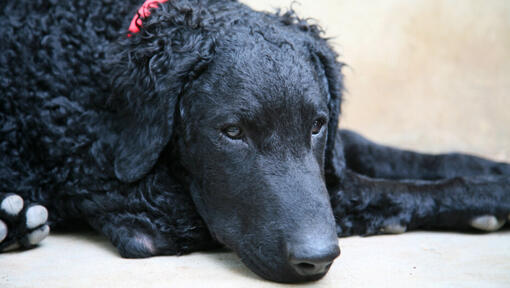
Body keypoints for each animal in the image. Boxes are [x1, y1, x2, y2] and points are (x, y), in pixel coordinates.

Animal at [0, 0, 510, 284]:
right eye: (232, 133)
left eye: (317, 125)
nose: (316, 260)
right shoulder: (147, 207)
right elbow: (382, 191)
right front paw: (490, 197)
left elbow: (381, 155)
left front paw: (493, 169)